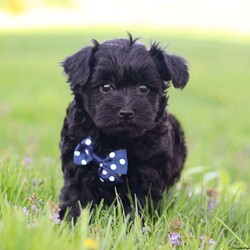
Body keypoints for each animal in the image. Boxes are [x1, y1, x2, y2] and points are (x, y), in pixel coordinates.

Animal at [59, 34, 189, 222]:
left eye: (143, 88)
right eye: (106, 86)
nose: (126, 113)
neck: (115, 141)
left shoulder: (147, 174)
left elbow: (141, 204)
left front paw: (136, 226)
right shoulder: (77, 165)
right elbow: (75, 198)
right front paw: (69, 222)